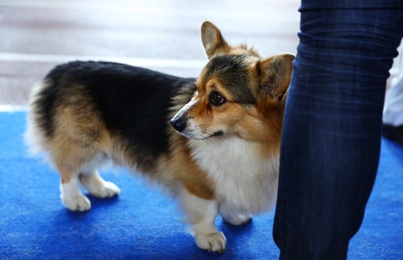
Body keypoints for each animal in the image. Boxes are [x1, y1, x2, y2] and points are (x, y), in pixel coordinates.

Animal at [26, 21, 296, 253]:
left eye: (217, 97)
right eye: (197, 89)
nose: (174, 124)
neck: (241, 141)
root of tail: (61, 70)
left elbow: (227, 201)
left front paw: (234, 217)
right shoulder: (198, 183)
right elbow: (208, 209)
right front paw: (209, 237)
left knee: (86, 171)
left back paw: (101, 188)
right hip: (83, 141)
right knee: (69, 170)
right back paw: (74, 199)